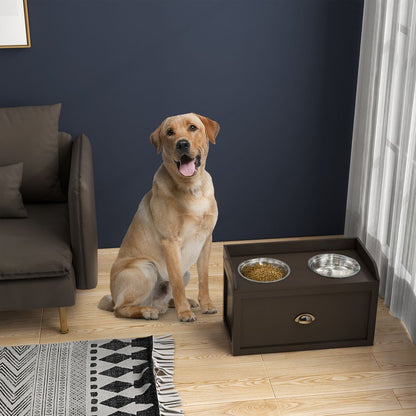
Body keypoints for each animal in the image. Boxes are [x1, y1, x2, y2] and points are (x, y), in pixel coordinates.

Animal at [99, 113, 219, 322]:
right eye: (170, 132)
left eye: (192, 127)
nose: (182, 144)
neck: (192, 189)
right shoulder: (170, 242)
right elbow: (176, 283)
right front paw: (184, 313)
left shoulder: (206, 240)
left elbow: (203, 279)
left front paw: (206, 304)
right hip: (145, 268)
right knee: (120, 308)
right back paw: (147, 311)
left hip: (184, 273)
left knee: (165, 297)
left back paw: (179, 303)